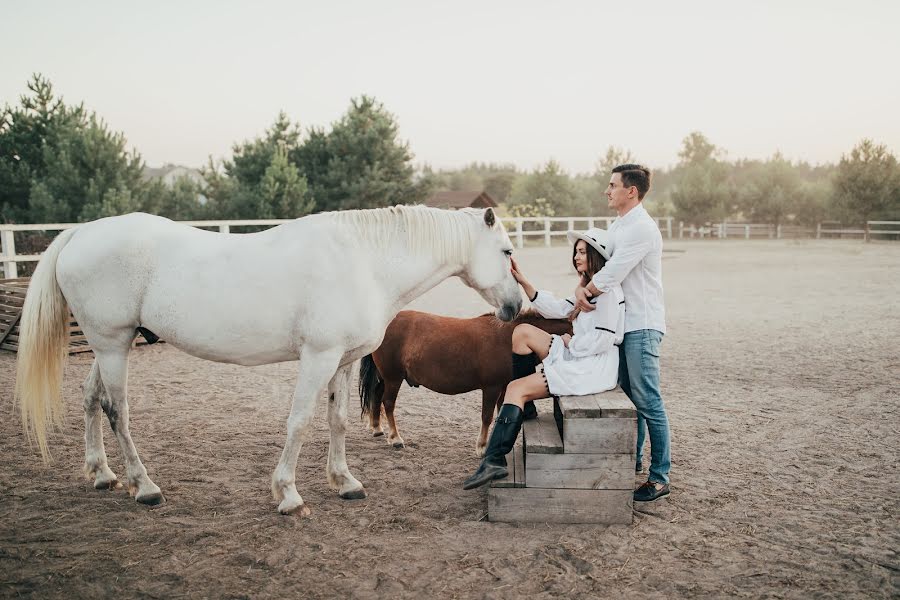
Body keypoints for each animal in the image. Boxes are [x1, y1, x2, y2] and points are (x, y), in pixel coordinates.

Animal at [15, 204, 520, 512]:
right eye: (507, 250)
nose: (516, 306)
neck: (362, 261)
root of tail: (81, 233)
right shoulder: (317, 358)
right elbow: (299, 421)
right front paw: (289, 493)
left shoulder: (340, 361)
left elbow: (337, 421)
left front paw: (345, 482)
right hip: (112, 344)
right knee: (116, 410)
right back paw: (145, 487)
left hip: (109, 346)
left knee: (89, 400)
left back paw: (102, 474)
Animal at [356, 310, 568, 454]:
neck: (508, 336)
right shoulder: (491, 388)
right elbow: (486, 417)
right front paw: (482, 447)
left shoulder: (503, 387)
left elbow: (501, 412)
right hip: (394, 377)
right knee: (388, 403)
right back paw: (395, 438)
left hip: (385, 377)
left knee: (376, 395)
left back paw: (377, 428)